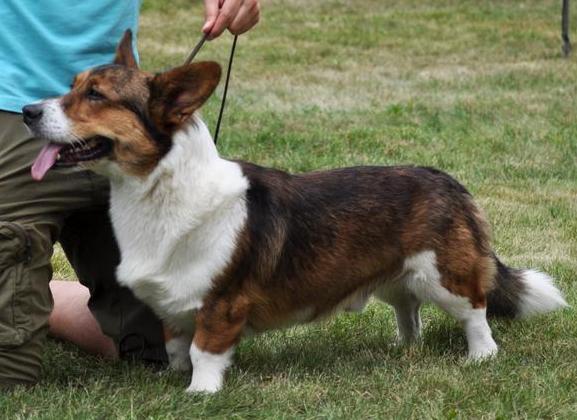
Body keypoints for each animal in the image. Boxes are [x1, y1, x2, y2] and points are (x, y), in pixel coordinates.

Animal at [23, 30, 568, 394]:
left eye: (96, 95)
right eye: (72, 84)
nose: (28, 111)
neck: (156, 190)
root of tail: (448, 180)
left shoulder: (222, 302)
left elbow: (205, 350)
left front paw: (200, 394)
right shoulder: (175, 305)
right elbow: (178, 345)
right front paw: (175, 380)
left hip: (444, 276)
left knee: (475, 312)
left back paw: (479, 358)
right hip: (396, 276)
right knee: (407, 307)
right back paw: (403, 349)